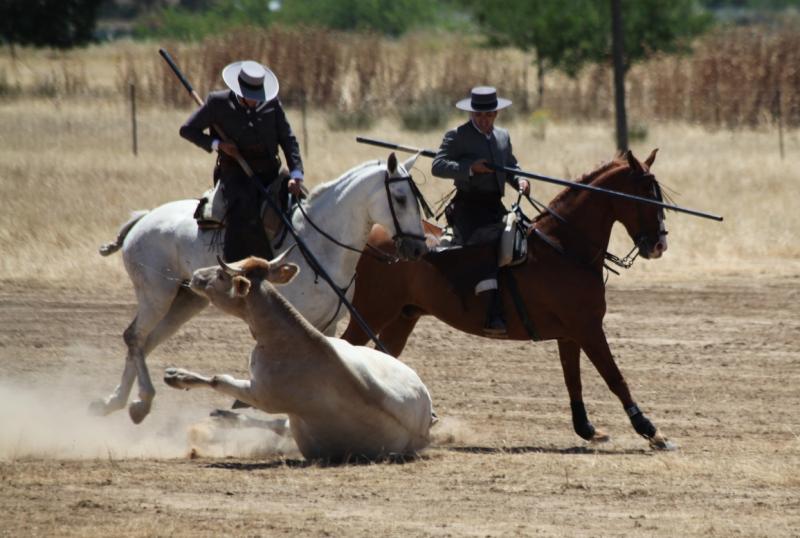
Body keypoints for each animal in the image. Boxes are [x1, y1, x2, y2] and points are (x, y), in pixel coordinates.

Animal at [91, 152, 428, 422]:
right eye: (400, 198)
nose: (418, 249)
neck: (317, 245)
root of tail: (145, 218)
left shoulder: (328, 325)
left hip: (186, 301)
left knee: (146, 341)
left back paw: (119, 401)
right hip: (156, 295)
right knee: (135, 336)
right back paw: (137, 402)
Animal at [164, 254, 438, 456]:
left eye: (222, 276)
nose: (197, 275)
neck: (292, 340)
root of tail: (426, 426)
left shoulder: (261, 394)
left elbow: (218, 380)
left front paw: (175, 377)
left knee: (279, 427)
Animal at [340, 150, 672, 448]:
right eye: (646, 193)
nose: (659, 244)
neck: (563, 247)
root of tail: (373, 235)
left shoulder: (570, 335)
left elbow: (573, 379)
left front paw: (587, 428)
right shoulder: (588, 329)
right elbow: (615, 377)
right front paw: (651, 430)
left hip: (403, 316)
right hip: (371, 310)